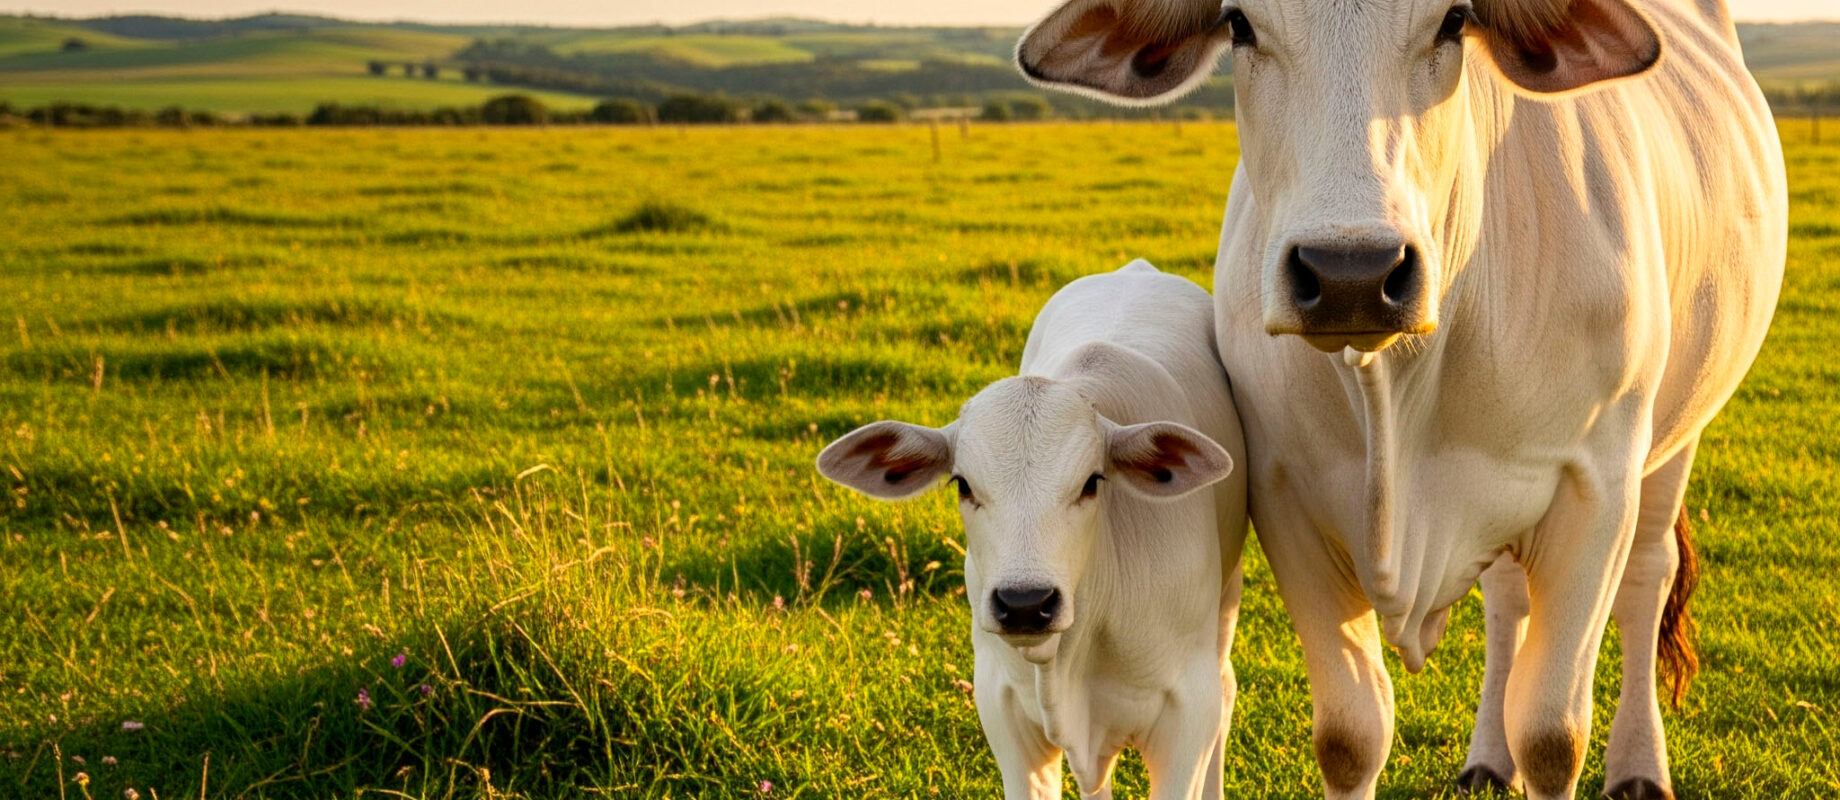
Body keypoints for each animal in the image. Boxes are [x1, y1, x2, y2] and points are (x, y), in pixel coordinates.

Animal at [1016, 0, 1785, 798]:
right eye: (1239, 24)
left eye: (1455, 19)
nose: (1350, 273)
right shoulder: (1284, 498)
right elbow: (1351, 736)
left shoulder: (1594, 491)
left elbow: (1551, 735)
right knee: (1508, 596)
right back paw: (1488, 758)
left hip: (1677, 435)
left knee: (1646, 575)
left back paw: (1638, 765)